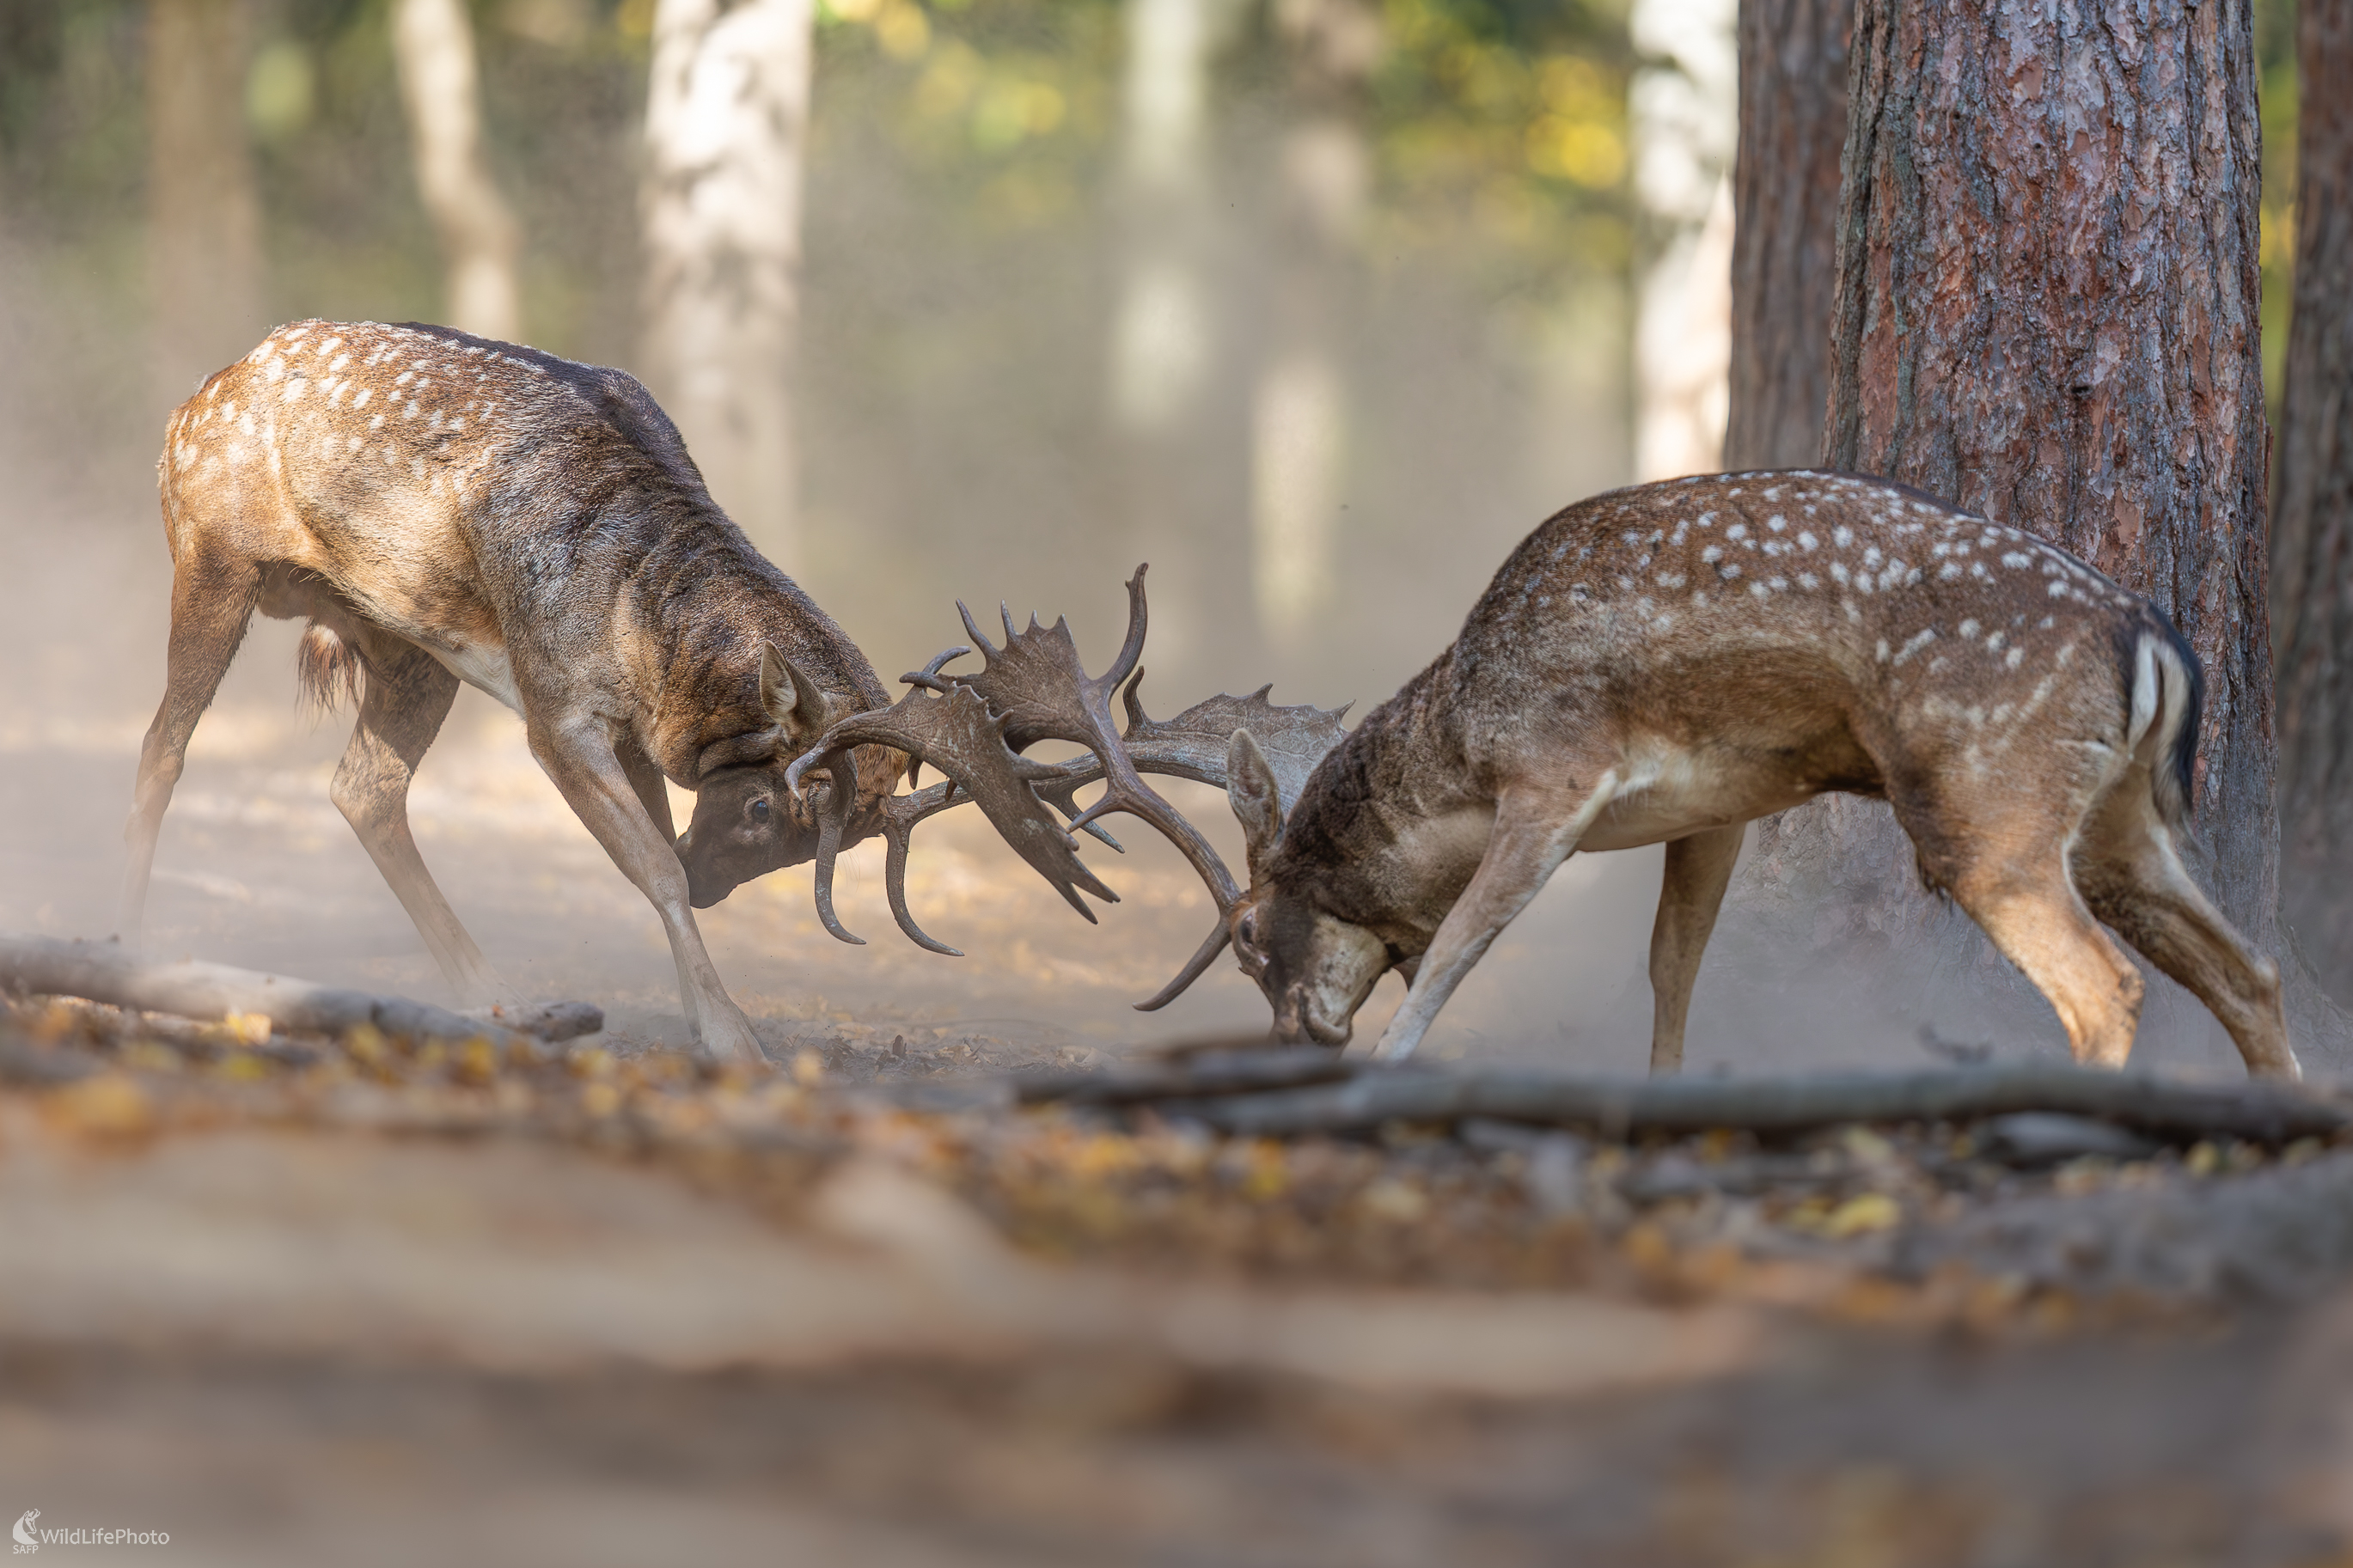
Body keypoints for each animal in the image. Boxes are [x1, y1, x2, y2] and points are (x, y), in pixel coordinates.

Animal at [790, 473, 2296, 1083]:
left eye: (1245, 935)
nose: (1298, 1037)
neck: (1462, 732)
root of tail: (2152, 637)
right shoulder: (1719, 809)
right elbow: (1672, 969)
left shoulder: (1553, 780)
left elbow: (1457, 950)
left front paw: (1393, 1068)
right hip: (2121, 818)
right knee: (2248, 969)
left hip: (1981, 794)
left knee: (2105, 986)